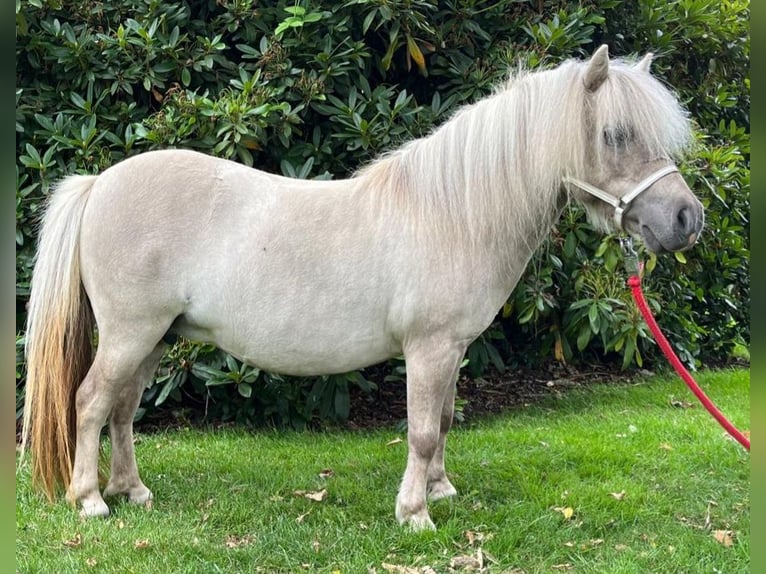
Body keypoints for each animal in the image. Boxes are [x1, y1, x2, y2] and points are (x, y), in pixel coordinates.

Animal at [19, 45, 704, 532]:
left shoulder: (452, 350)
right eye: (615, 134)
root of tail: (100, 183)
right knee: (90, 402)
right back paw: (91, 501)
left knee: (122, 409)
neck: (454, 212)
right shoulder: (429, 348)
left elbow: (444, 420)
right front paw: (415, 515)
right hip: (130, 333)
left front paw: (440, 491)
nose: (686, 219)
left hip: (156, 338)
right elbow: (422, 429)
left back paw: (132, 491)